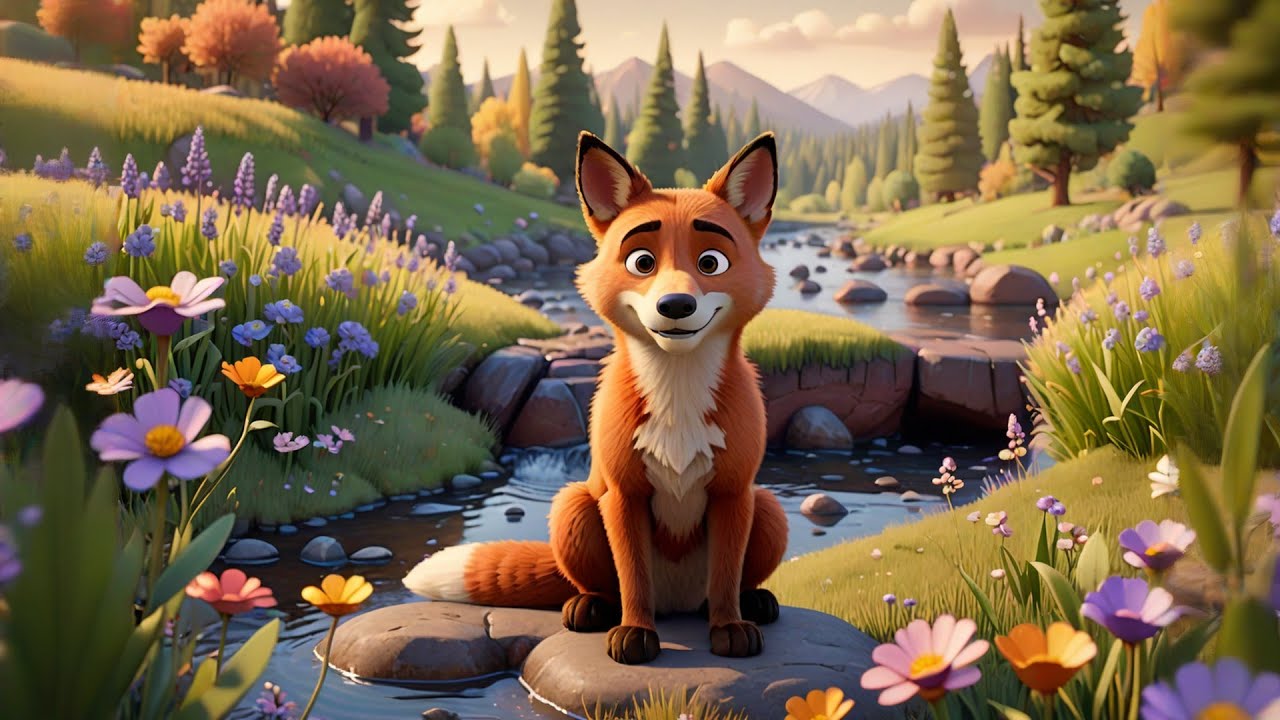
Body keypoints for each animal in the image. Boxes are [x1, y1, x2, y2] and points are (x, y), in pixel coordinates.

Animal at [403, 131, 788, 665]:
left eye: (711, 262)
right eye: (642, 262)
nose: (675, 305)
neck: (677, 397)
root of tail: (679, 603)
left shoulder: (733, 493)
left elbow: (727, 574)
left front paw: (730, 628)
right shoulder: (623, 495)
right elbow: (633, 577)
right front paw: (635, 634)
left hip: (767, 508)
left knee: (722, 586)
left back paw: (754, 602)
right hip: (574, 506)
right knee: (599, 585)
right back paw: (591, 608)